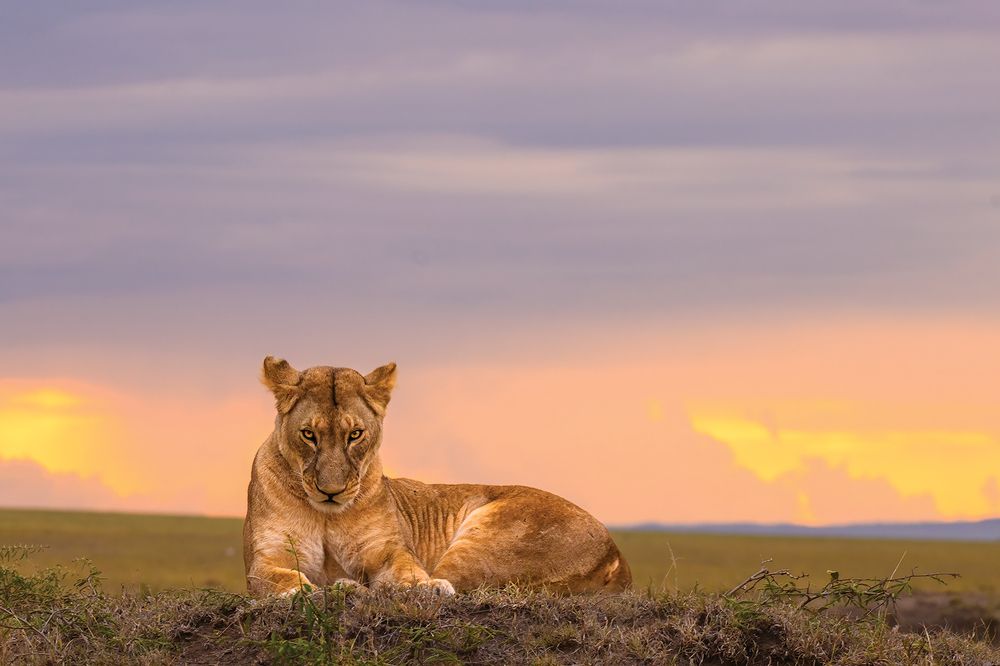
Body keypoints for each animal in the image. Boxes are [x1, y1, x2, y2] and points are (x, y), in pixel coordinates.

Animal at [243, 357, 631, 596]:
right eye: (309, 435)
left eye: (355, 435)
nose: (331, 492)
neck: (326, 515)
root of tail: (616, 552)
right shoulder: (266, 558)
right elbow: (276, 578)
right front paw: (302, 591)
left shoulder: (387, 550)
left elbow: (406, 571)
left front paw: (420, 587)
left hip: (488, 539)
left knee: (449, 584)